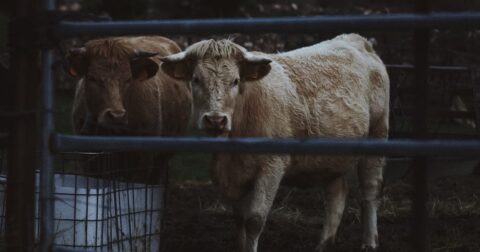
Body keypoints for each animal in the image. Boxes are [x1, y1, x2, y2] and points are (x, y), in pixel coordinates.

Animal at [67, 36, 191, 182]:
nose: (117, 116)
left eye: (128, 79)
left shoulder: (143, 161)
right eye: (92, 78)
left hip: (163, 156)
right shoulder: (88, 162)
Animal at [161, 34, 390, 252]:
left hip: (377, 135)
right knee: (337, 194)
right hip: (331, 159)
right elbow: (239, 220)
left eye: (235, 81)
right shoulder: (235, 174)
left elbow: (254, 220)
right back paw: (324, 243)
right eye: (196, 79)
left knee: (370, 191)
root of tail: (356, 40)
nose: (216, 120)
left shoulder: (271, 166)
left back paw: (369, 242)